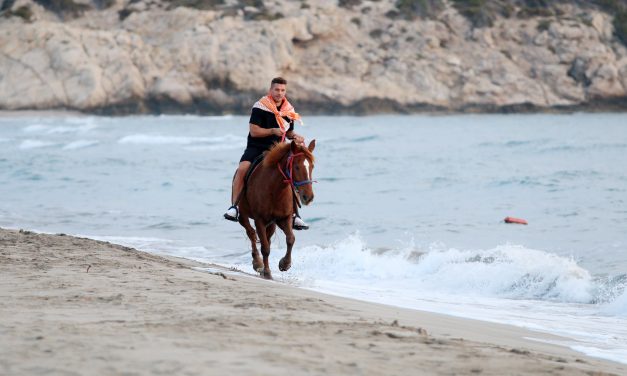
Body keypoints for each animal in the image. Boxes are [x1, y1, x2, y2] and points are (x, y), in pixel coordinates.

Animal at [240, 140, 318, 278]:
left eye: (312, 167)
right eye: (296, 167)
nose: (308, 197)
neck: (275, 189)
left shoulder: (284, 218)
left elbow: (291, 239)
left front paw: (285, 264)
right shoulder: (259, 220)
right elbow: (265, 247)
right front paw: (267, 272)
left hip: (271, 224)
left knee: (266, 238)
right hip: (244, 215)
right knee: (251, 233)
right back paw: (257, 262)